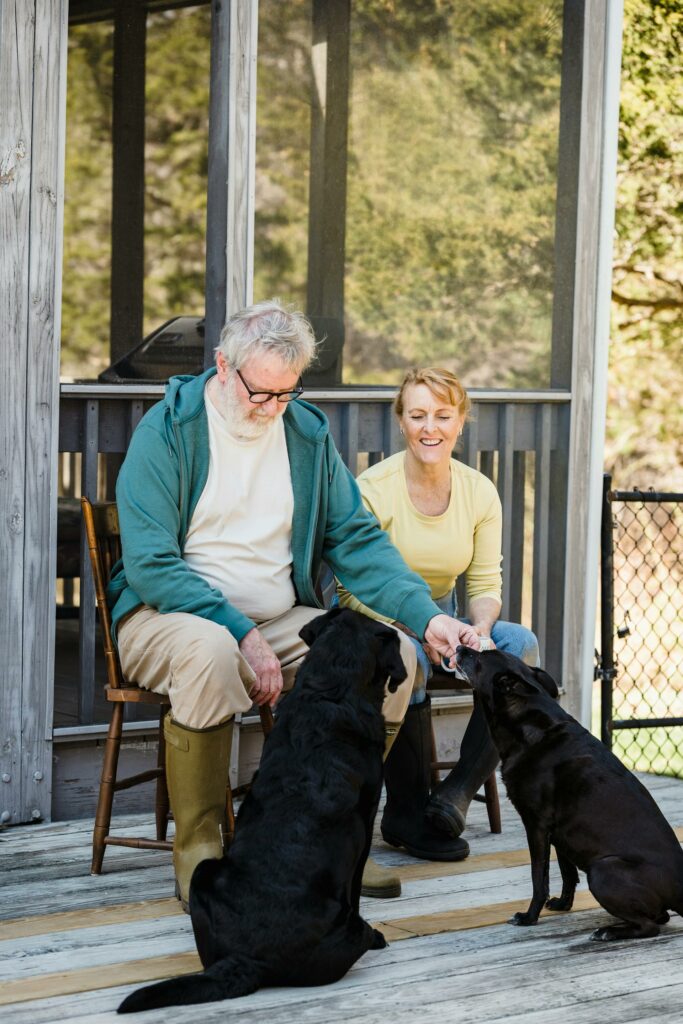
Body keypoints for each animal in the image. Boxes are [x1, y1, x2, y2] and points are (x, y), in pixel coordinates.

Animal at [118, 602, 405, 1011]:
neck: (330, 695)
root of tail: (245, 960)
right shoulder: (364, 826)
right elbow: (356, 886)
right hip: (349, 929)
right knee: (359, 926)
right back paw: (375, 937)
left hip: (205, 873)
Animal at [456, 647, 683, 942]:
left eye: (480, 657)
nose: (459, 648)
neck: (532, 726)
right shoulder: (560, 833)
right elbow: (567, 872)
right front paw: (564, 904)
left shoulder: (537, 826)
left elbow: (539, 877)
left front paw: (529, 917)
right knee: (659, 916)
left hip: (602, 871)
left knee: (651, 926)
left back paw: (608, 932)